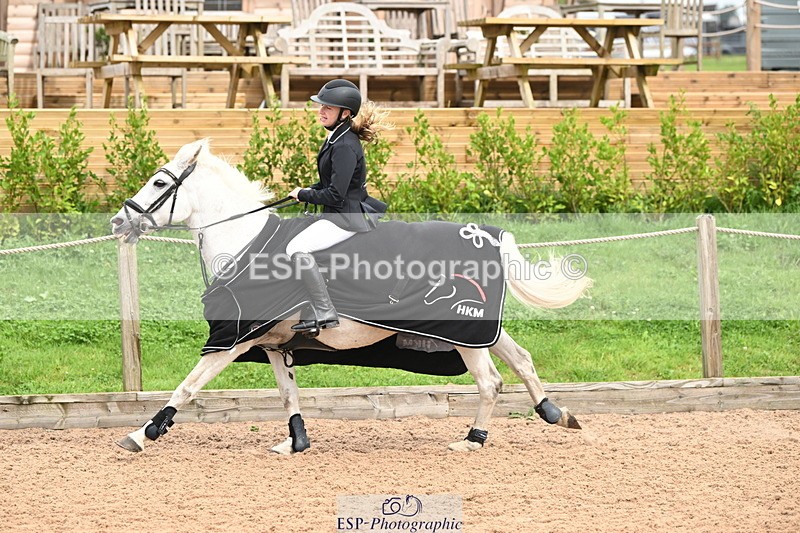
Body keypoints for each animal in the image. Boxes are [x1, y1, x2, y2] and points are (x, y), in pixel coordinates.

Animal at [110, 139, 591, 454]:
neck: (245, 241)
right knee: (522, 359)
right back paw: (557, 413)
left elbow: (188, 385)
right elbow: (287, 393)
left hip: (461, 329)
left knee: (490, 381)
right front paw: (296, 442)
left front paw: (141, 434)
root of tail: (489, 234)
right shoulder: (272, 343)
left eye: (158, 184)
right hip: (478, 328)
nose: (117, 222)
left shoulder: (235, 340)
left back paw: (472, 441)